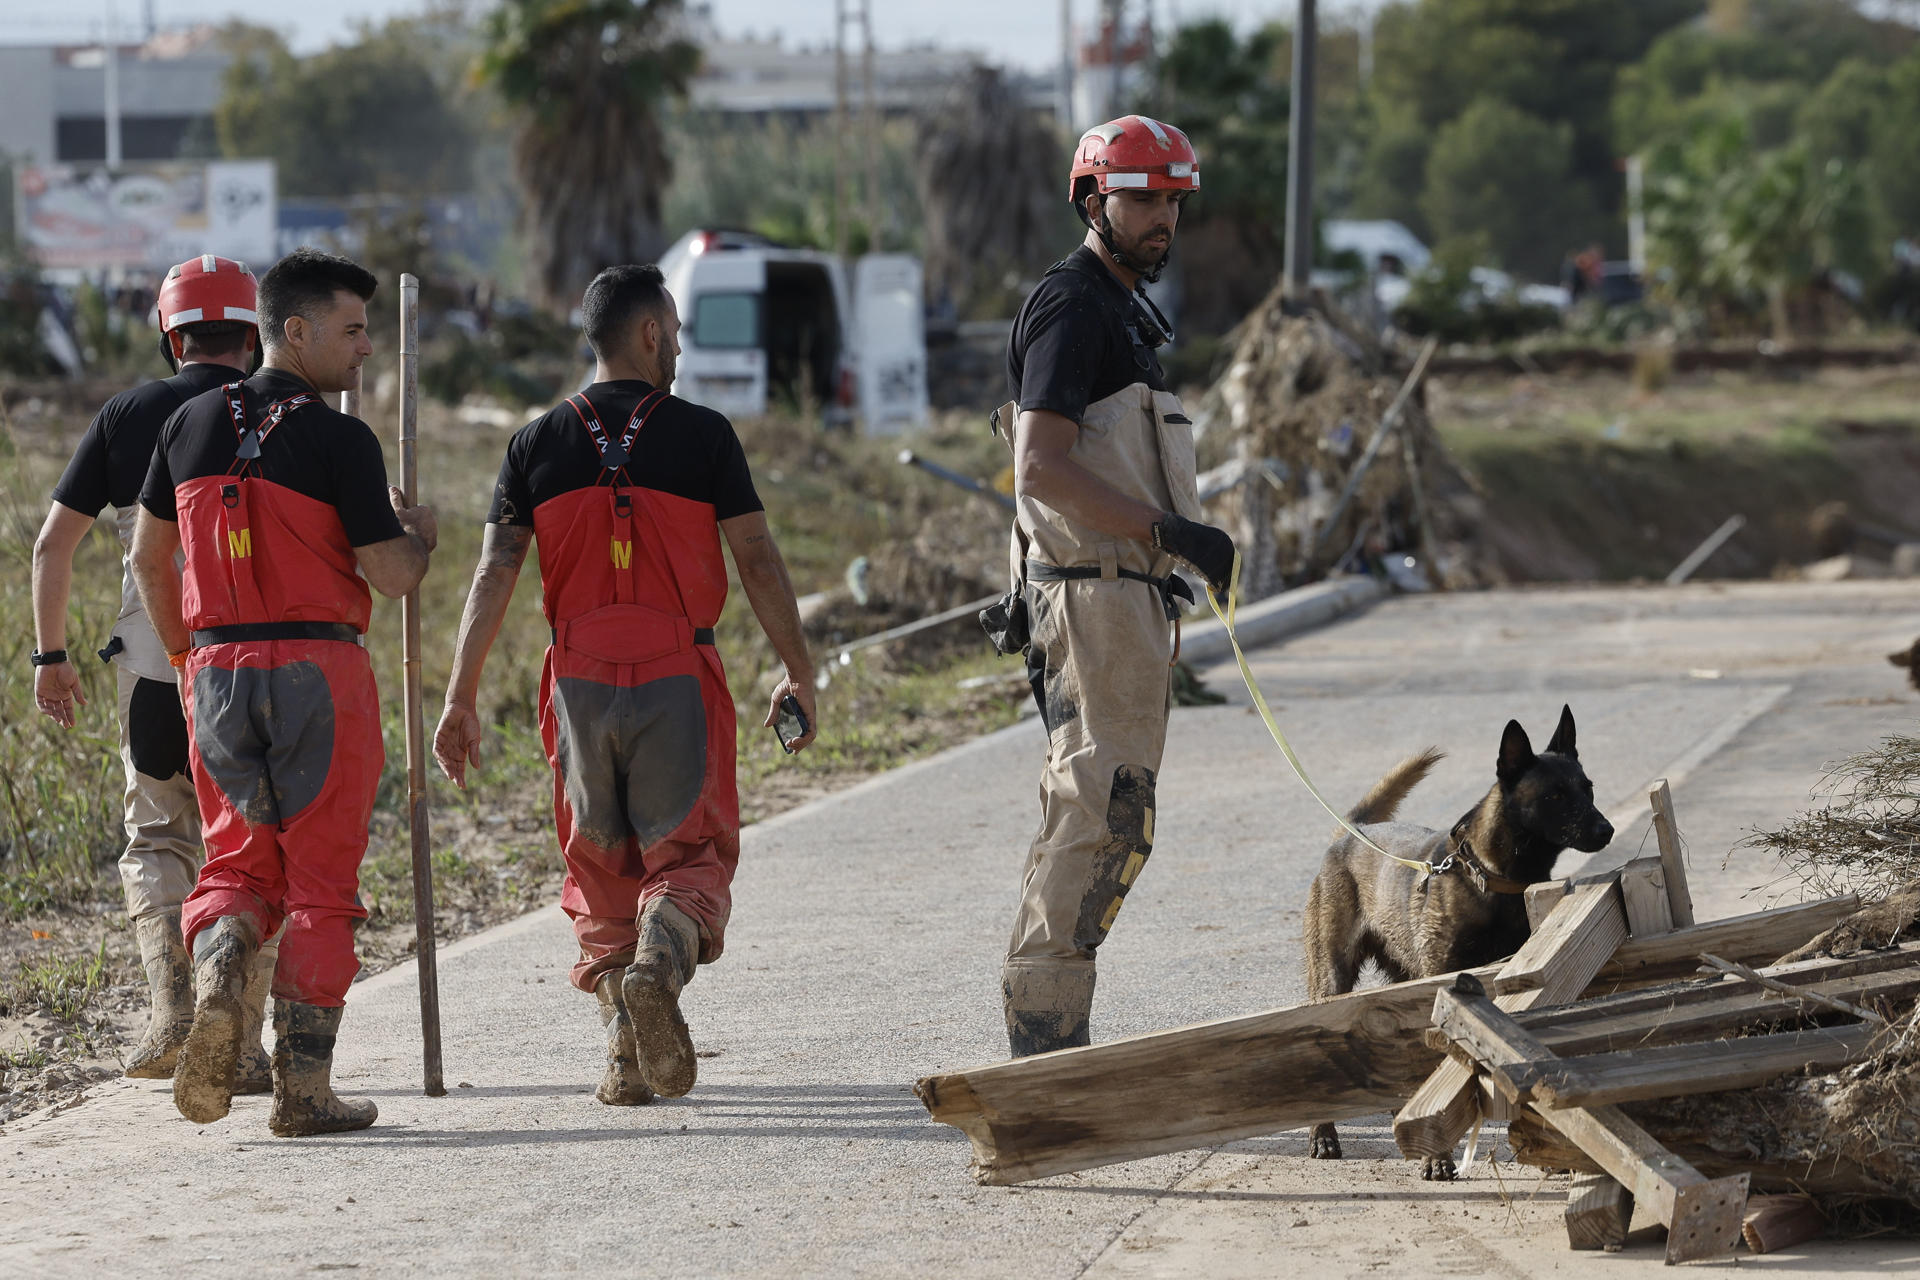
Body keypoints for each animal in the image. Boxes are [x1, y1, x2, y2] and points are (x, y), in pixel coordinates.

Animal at [1297, 710, 1612, 1182]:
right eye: (1555, 794)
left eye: (1588, 788)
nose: (1605, 830)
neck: (1492, 877)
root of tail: (1352, 831)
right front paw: (1437, 1157)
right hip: (1333, 977)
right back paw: (1323, 1134)